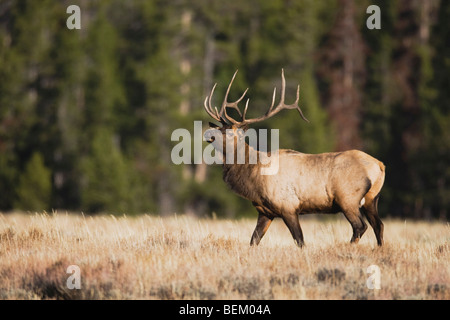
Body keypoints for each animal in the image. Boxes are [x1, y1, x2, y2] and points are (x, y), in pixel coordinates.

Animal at [202, 69, 384, 246]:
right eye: (219, 127)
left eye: (228, 132)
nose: (207, 133)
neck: (254, 177)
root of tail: (380, 165)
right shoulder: (265, 212)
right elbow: (254, 240)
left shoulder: (288, 206)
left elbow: (299, 240)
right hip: (371, 199)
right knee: (378, 225)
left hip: (348, 198)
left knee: (360, 226)